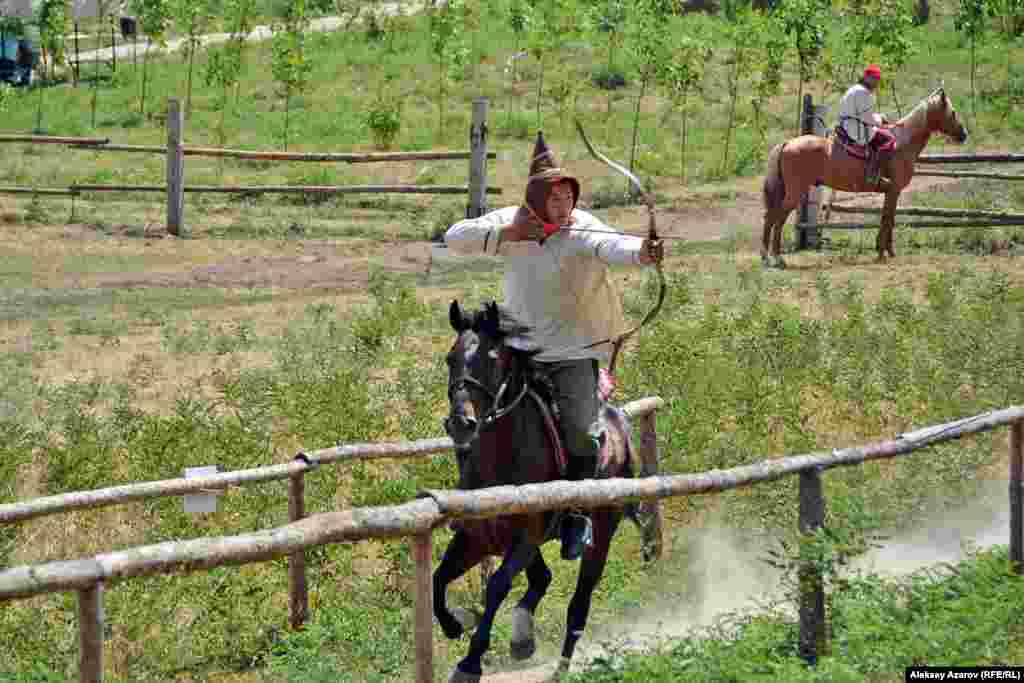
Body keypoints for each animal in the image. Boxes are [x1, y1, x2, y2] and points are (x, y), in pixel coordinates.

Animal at [434, 301, 655, 683]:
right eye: (451, 358)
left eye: (492, 358)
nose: (461, 423)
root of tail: (618, 420)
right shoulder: (476, 537)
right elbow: (438, 580)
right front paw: (454, 625)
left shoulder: (526, 536)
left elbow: (496, 587)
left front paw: (470, 662)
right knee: (542, 578)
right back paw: (523, 637)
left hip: (601, 534)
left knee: (579, 606)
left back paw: (560, 667)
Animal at [761, 86, 966, 266]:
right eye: (953, 112)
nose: (964, 134)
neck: (902, 143)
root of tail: (787, 143)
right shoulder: (894, 190)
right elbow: (888, 219)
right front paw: (883, 253)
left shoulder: (890, 192)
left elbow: (887, 218)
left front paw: (886, 251)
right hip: (795, 192)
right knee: (778, 219)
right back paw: (777, 258)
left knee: (770, 217)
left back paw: (766, 257)